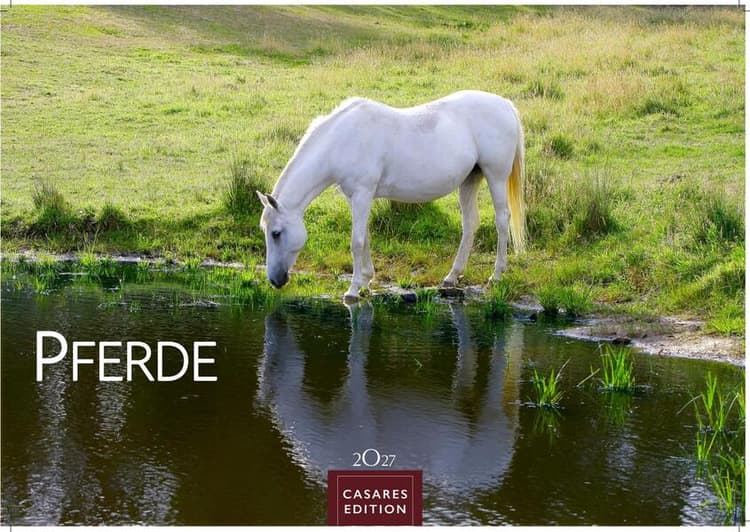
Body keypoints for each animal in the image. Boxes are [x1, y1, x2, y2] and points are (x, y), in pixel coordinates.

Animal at [256, 90, 526, 302]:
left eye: (276, 233)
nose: (275, 280)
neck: (342, 139)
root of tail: (505, 104)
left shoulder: (362, 194)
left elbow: (357, 242)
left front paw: (353, 290)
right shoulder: (355, 197)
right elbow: (365, 237)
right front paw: (366, 280)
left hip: (495, 176)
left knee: (502, 220)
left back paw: (496, 275)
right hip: (470, 180)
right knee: (470, 224)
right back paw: (452, 276)